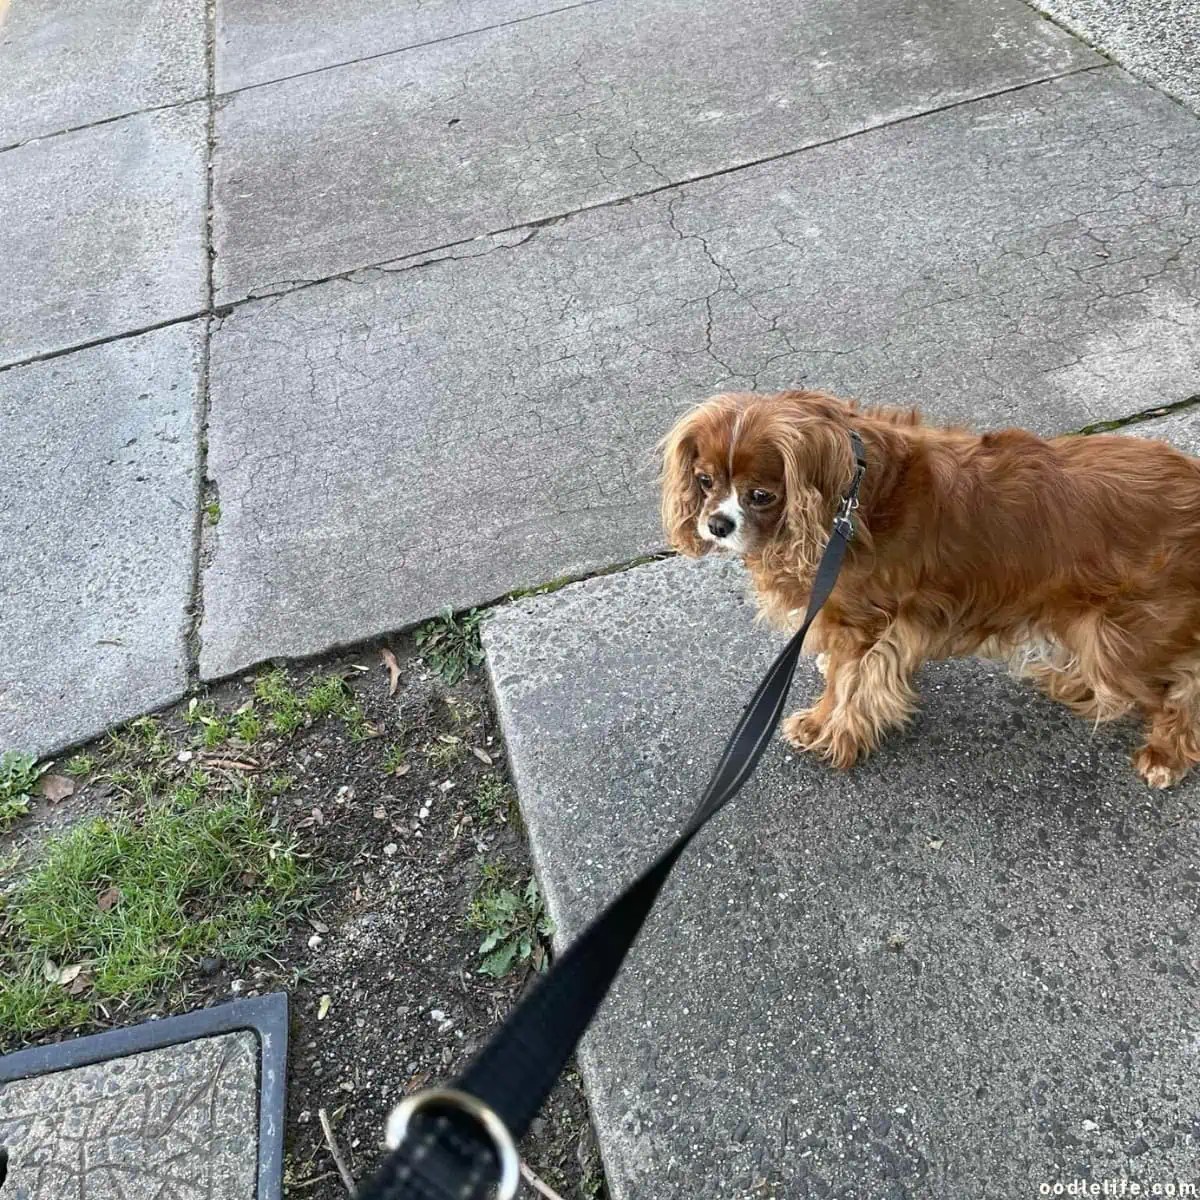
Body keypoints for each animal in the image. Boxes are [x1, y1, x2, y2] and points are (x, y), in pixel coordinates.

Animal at [662, 388, 1200, 792]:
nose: (716, 525)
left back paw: (1165, 754)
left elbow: (845, 684)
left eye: (761, 495)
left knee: (1182, 682)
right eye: (704, 480)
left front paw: (821, 726)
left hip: (1121, 640)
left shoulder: (863, 624)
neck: (851, 497)